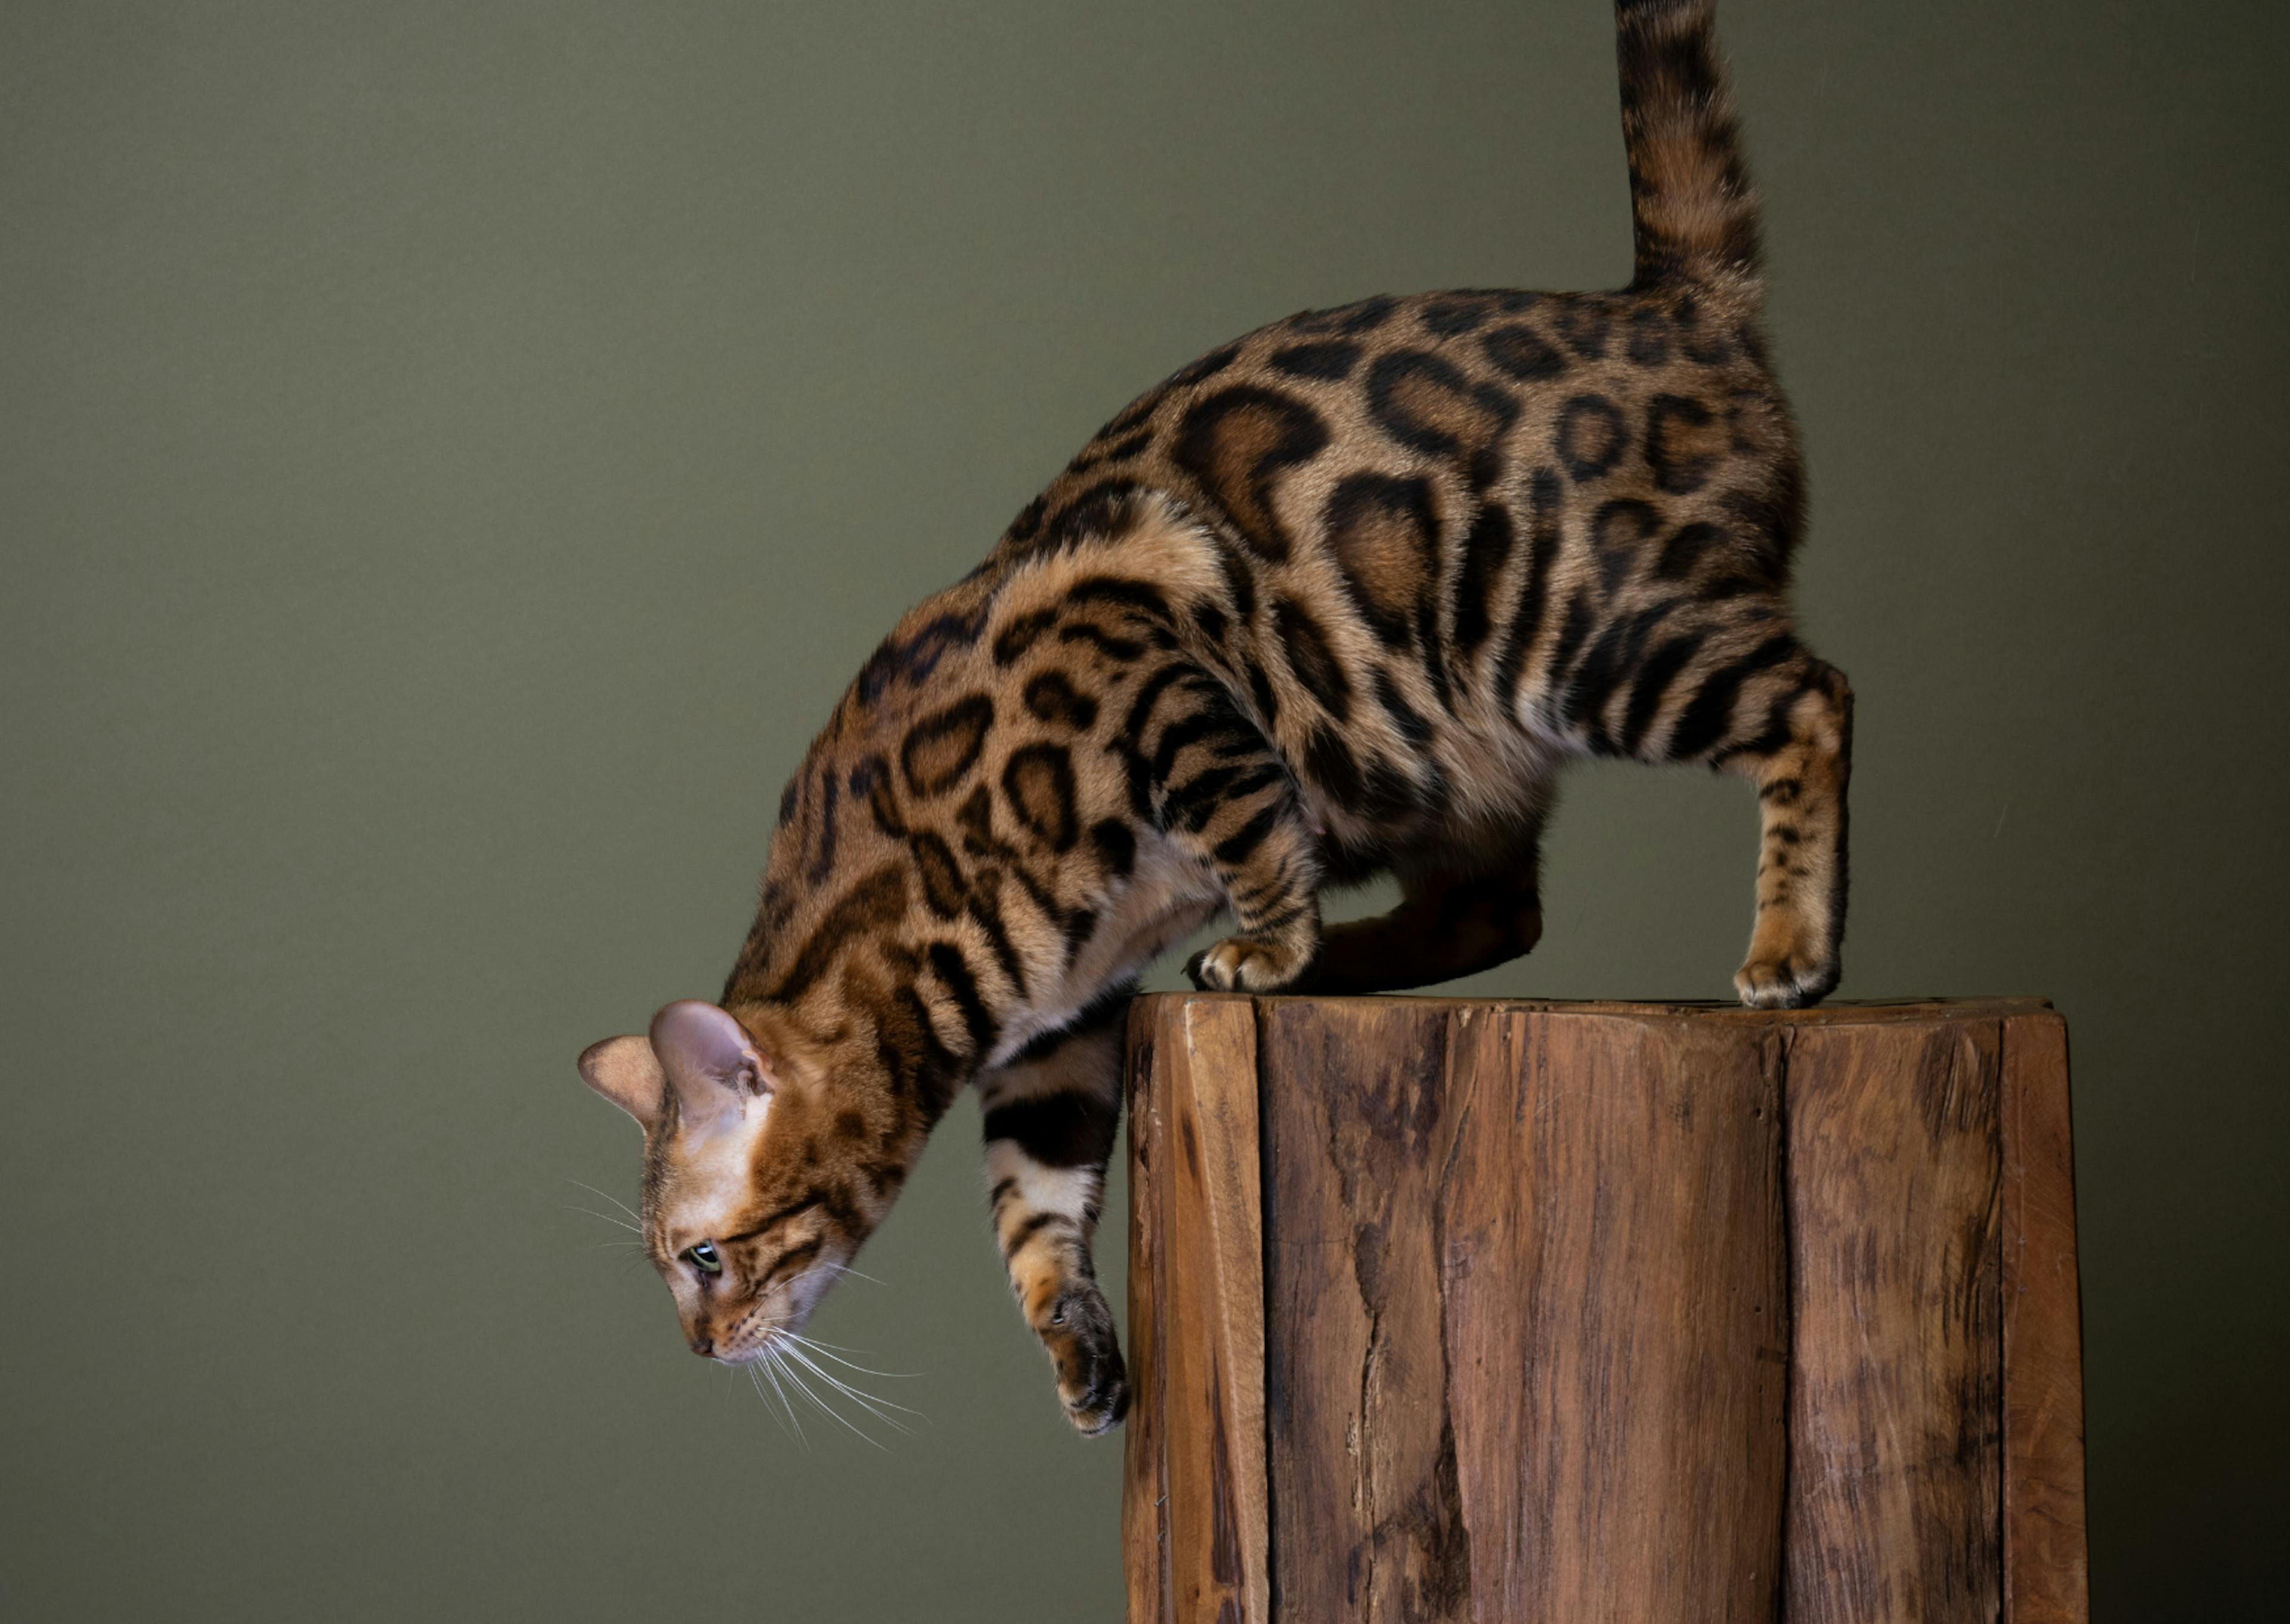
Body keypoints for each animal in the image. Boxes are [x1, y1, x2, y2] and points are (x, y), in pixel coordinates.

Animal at [572, 3, 1841, 1448]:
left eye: (702, 1256)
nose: (698, 1348)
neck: (908, 922)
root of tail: (1668, 306)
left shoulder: (1152, 680)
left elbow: (1249, 822)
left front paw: (1274, 937)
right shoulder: (1056, 1028)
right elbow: (1031, 1203)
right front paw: (1072, 1339)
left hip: (1582, 638)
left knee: (1811, 700)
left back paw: (1786, 948)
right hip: (1460, 752)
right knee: (1499, 910)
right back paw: (1351, 960)